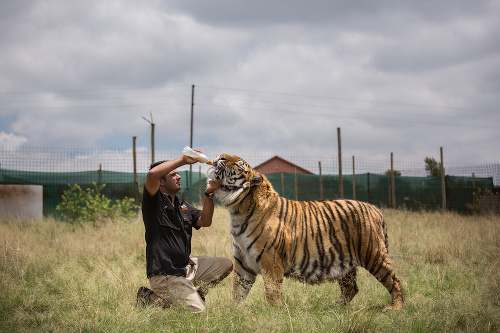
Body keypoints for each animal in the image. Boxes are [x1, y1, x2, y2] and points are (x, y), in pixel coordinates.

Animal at [205, 152, 404, 310]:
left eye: (239, 164)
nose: (220, 156)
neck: (237, 210)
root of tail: (375, 208)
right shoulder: (242, 260)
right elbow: (238, 289)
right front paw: (234, 312)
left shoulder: (270, 258)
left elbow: (272, 291)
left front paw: (275, 313)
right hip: (345, 263)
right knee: (351, 288)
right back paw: (333, 307)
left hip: (373, 254)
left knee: (395, 281)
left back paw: (394, 308)